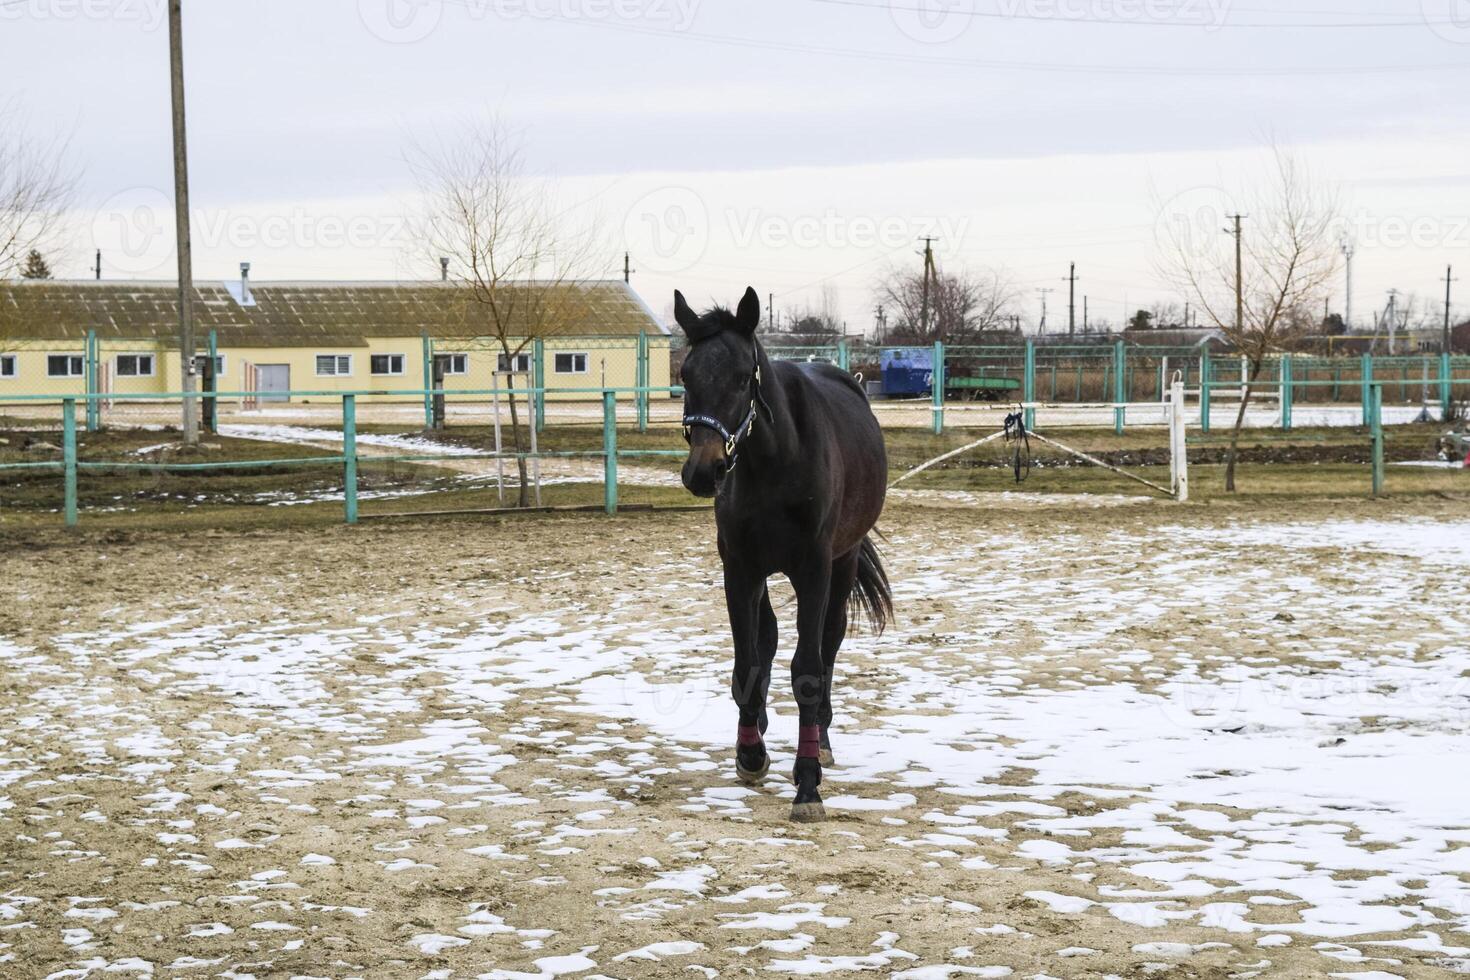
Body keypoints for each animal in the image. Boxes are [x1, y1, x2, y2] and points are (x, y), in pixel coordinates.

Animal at [673, 285, 887, 822]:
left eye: (740, 376)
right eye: (686, 375)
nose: (703, 471)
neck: (774, 462)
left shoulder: (813, 569)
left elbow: (808, 669)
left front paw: (807, 784)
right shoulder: (740, 569)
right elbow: (746, 663)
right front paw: (750, 753)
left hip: (842, 563)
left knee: (829, 644)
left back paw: (823, 741)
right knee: (767, 639)